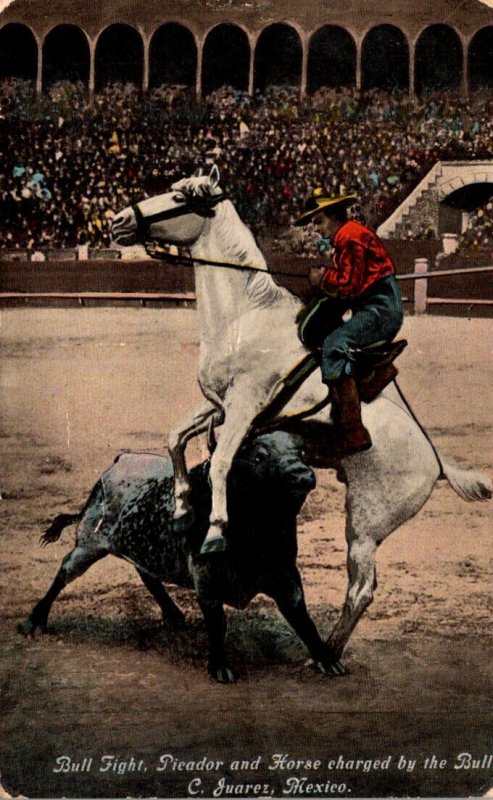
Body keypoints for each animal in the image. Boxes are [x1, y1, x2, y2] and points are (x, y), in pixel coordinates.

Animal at [18, 432, 342, 680]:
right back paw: (33, 622)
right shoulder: (207, 581)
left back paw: (173, 615)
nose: (302, 475)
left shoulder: (285, 574)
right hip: (89, 544)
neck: (256, 534)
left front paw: (327, 659)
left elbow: (301, 617)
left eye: (301, 450)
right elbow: (218, 623)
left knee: (147, 575)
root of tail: (119, 461)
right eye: (259, 456)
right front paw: (220, 668)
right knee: (64, 573)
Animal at [109, 164, 490, 668]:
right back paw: (326, 650)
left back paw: (325, 652)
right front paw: (182, 503)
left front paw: (215, 530)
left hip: (365, 525)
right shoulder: (220, 405)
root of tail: (437, 461)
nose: (116, 222)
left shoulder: (246, 405)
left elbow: (223, 462)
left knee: (362, 589)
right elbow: (175, 438)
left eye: (179, 197)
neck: (242, 316)